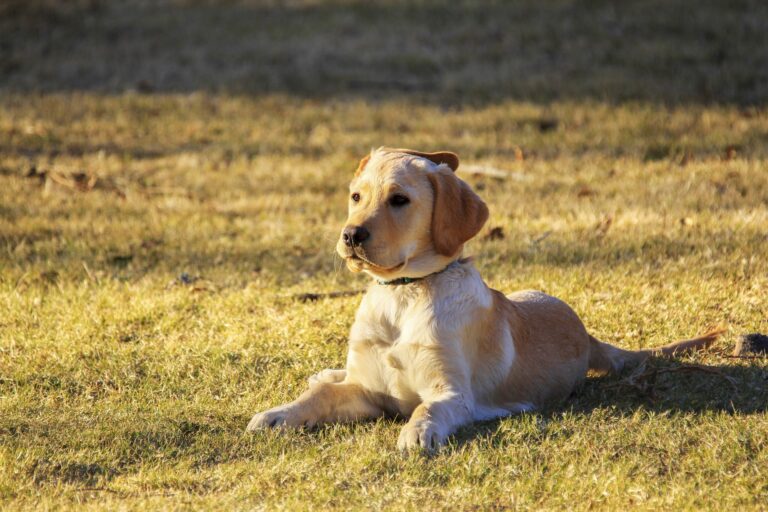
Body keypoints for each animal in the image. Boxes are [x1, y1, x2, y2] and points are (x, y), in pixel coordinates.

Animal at [249, 147, 724, 452]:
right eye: (356, 196)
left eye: (400, 200)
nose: (350, 235)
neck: (404, 295)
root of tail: (587, 336)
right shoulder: (365, 390)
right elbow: (319, 398)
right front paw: (277, 414)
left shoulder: (452, 394)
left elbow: (426, 409)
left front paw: (415, 433)